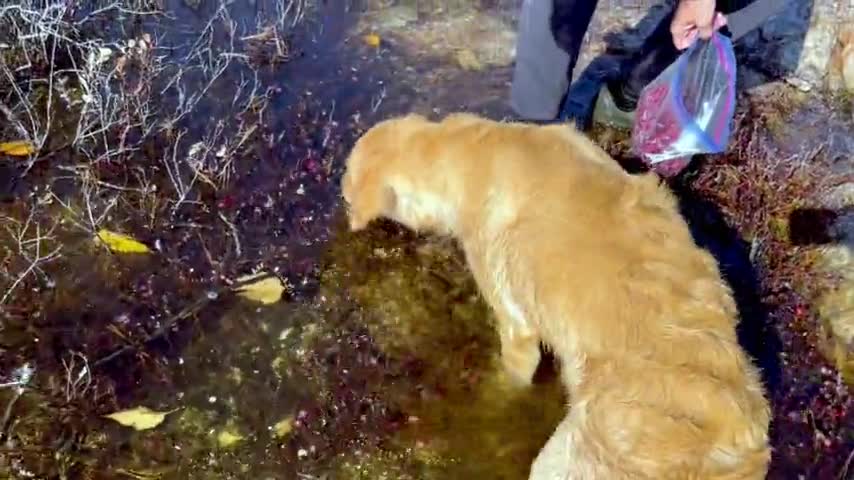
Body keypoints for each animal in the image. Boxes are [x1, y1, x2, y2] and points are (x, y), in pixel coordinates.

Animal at [342, 113, 776, 480]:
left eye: (346, 195)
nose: (344, 221)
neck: (468, 152)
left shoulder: (513, 320)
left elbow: (512, 374)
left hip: (562, 461)